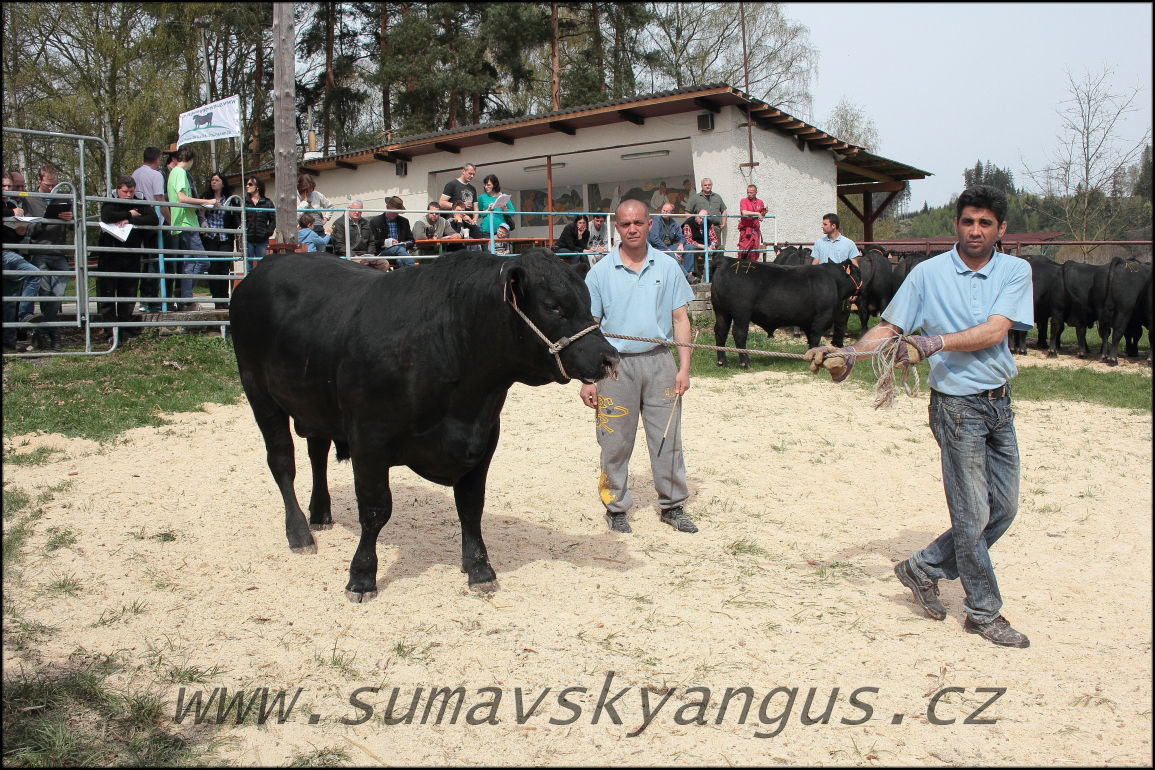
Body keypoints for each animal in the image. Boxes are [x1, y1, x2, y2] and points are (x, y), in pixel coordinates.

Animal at [228, 250, 619, 600]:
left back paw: (321, 513)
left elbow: (471, 506)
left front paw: (479, 569)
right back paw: (299, 534)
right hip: (258, 390)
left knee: (317, 453)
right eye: (554, 306)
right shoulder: (368, 439)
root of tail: (265, 267)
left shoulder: (484, 438)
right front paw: (362, 576)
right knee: (282, 462)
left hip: (314, 403)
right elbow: (375, 510)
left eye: (587, 303)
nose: (609, 357)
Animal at [706, 256, 863, 367]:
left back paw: (722, 362)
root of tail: (726, 261)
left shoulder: (808, 320)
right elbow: (815, 338)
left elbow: (810, 339)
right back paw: (745, 362)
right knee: (739, 334)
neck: (833, 280)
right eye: (857, 271)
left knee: (721, 331)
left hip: (721, 311)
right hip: (741, 312)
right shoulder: (821, 317)